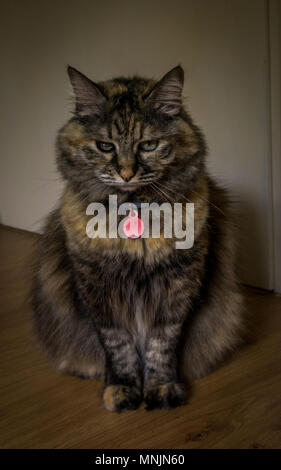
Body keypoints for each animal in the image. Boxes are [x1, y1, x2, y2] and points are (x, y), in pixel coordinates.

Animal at [31, 66, 244, 412]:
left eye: (149, 145)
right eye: (105, 146)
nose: (127, 173)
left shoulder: (178, 285)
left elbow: (162, 344)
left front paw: (161, 388)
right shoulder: (98, 289)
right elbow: (119, 347)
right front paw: (122, 389)